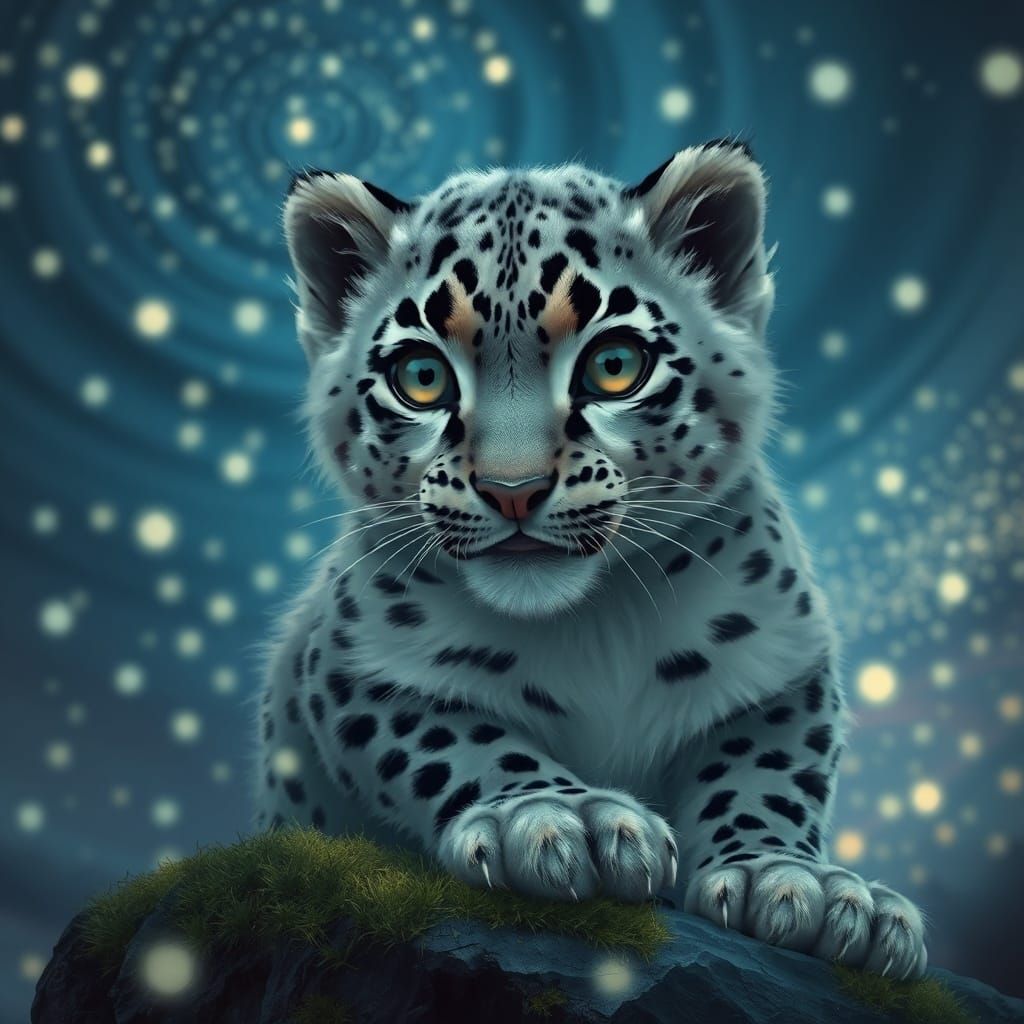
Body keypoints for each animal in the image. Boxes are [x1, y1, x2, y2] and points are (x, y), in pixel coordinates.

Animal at [254, 140, 927, 978]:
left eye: (615, 364)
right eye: (422, 377)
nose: (512, 490)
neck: (593, 626)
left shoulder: (785, 666)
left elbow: (764, 772)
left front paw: (802, 886)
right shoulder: (352, 670)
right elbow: (452, 739)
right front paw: (560, 824)